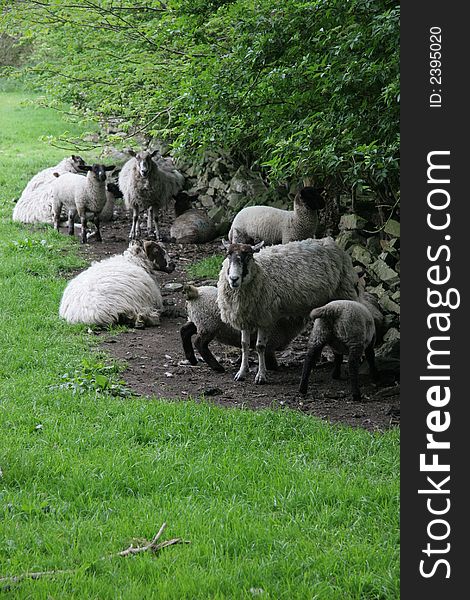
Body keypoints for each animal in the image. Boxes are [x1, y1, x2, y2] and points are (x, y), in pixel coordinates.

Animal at [218, 236, 358, 382]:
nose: (234, 279)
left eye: (249, 256)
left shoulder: (264, 318)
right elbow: (244, 345)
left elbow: (260, 347)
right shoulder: (245, 316)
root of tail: (329, 241)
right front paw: (241, 372)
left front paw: (261, 375)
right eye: (228, 254)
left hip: (344, 293)